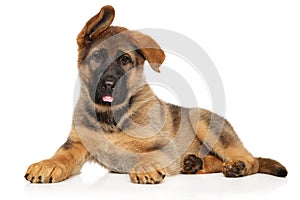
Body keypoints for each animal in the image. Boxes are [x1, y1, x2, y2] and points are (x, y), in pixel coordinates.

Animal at [24, 4, 288, 184]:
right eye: (97, 57)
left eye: (125, 60)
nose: (109, 84)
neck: (110, 117)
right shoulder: (75, 145)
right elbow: (61, 156)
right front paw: (47, 164)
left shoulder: (163, 146)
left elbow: (147, 155)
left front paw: (145, 168)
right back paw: (194, 163)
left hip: (205, 123)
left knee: (251, 159)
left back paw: (236, 166)